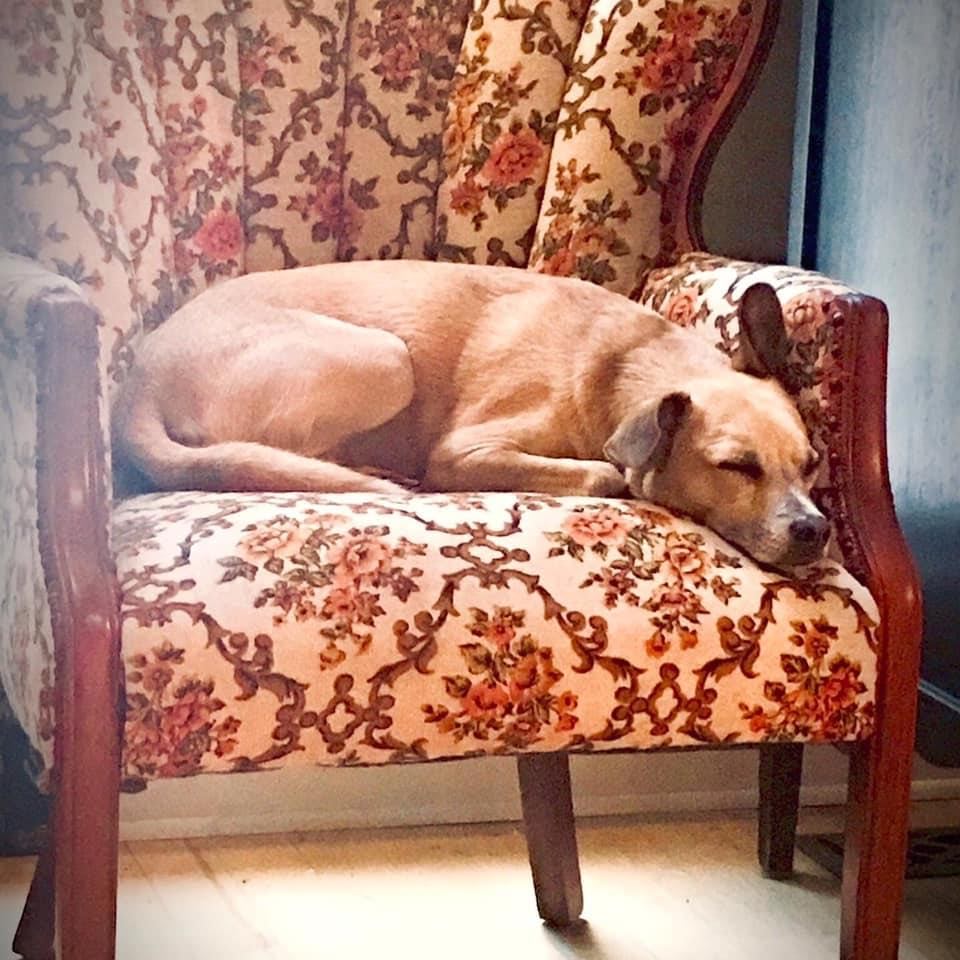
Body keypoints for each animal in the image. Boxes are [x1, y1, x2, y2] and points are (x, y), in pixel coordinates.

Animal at [113, 260, 829, 568]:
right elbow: (606, 473)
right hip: (385, 357)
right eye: (737, 466)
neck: (623, 363)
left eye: (812, 465)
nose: (816, 531)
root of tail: (138, 380)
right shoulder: (465, 451)